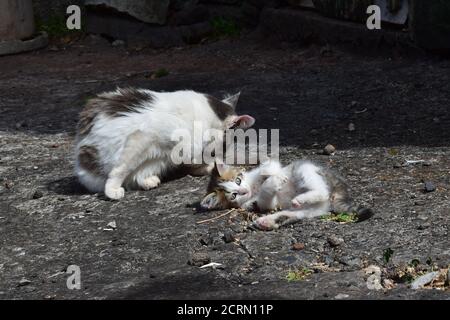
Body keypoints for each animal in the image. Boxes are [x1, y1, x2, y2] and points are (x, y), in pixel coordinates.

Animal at [75, 87, 255, 200]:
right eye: (223, 147)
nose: (220, 159)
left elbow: (194, 160)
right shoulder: (145, 135)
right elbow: (121, 169)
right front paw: (112, 190)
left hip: (161, 160)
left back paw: (148, 181)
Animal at [200, 160, 372, 230]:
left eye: (238, 180)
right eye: (234, 196)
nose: (244, 191)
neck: (253, 189)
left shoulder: (270, 167)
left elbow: (269, 168)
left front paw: (272, 176)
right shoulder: (266, 203)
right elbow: (264, 199)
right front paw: (272, 183)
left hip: (305, 169)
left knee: (321, 190)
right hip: (311, 208)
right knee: (295, 212)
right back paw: (268, 221)